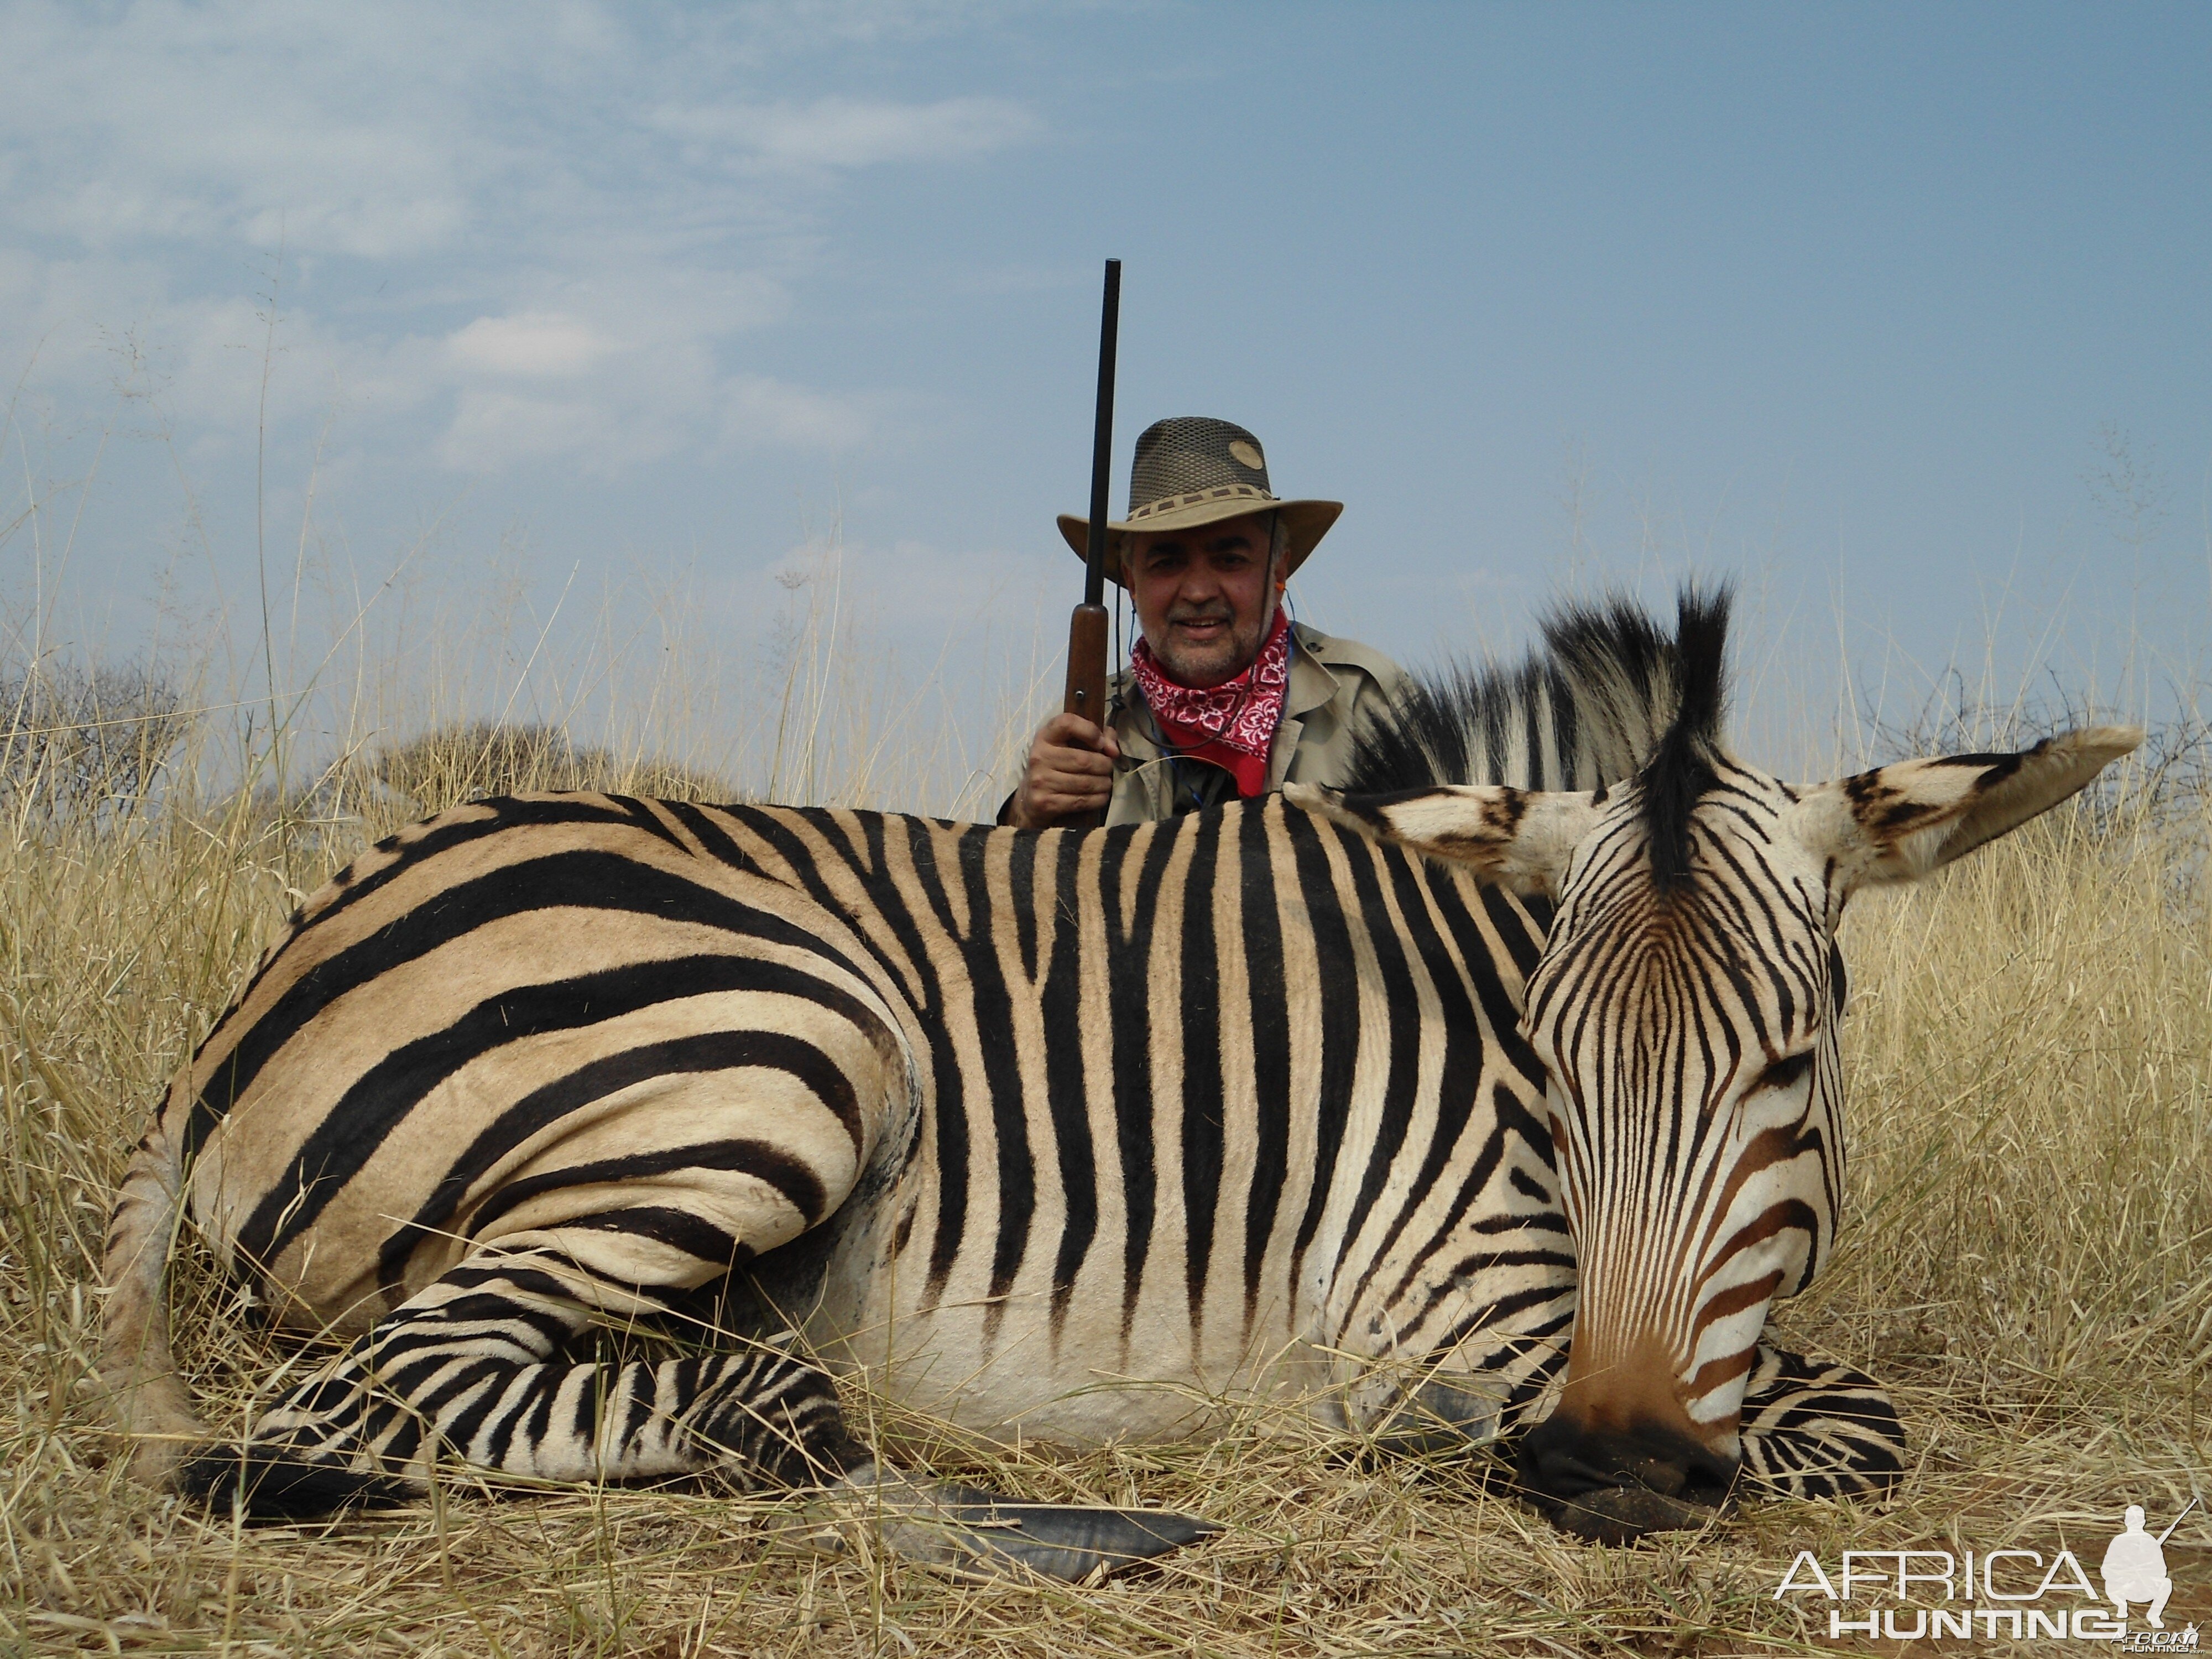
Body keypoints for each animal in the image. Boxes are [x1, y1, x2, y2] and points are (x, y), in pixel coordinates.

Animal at [95, 588, 2132, 1575]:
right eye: (1551, 1065)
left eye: (1797, 1055)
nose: (1612, 1465)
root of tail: (261, 975)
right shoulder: (1443, 1308)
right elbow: (1844, 1418)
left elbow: (1826, 1403)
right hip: (785, 1047)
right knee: (371, 1393)